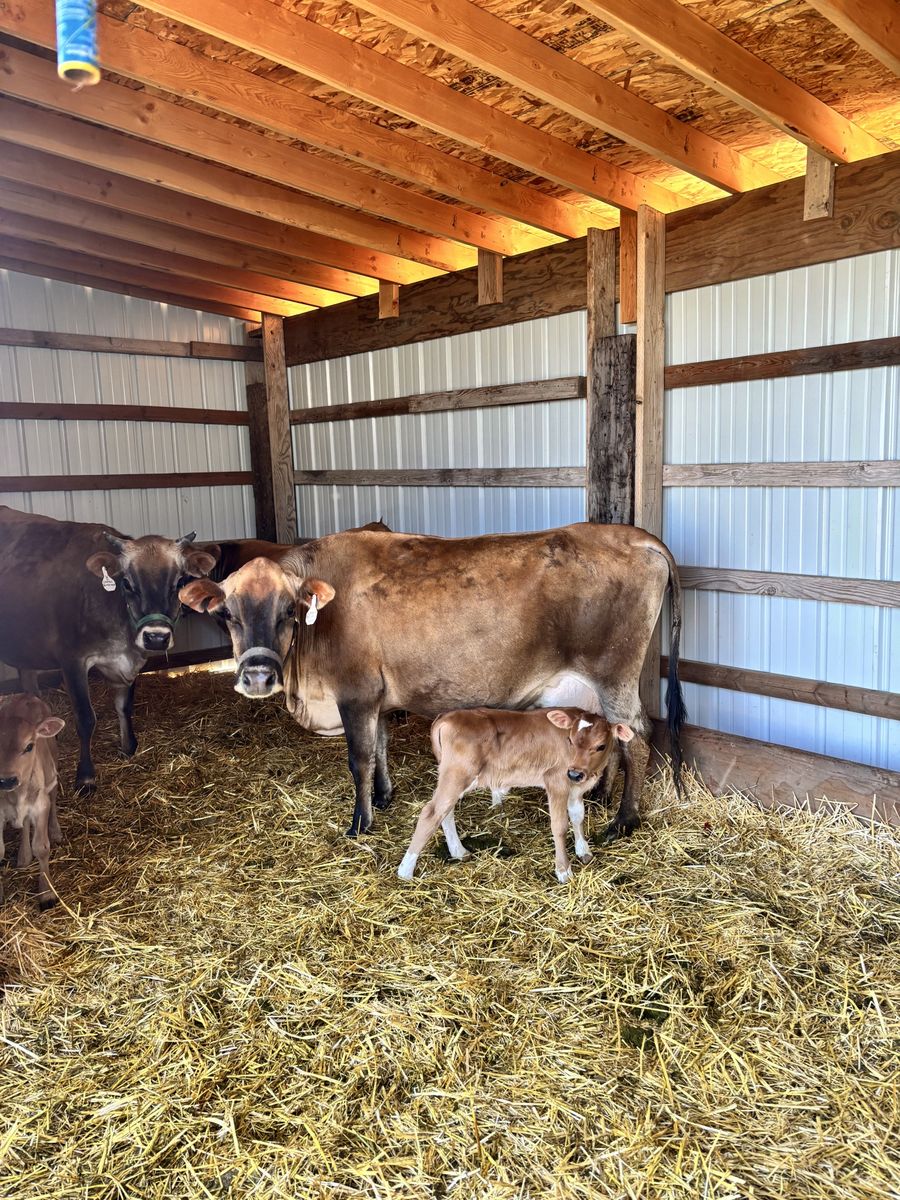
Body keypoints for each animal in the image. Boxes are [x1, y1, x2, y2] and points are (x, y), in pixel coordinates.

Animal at [0, 507, 217, 790]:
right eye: (126, 583)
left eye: (180, 582)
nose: (155, 638)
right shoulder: (72, 660)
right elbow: (85, 717)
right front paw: (85, 776)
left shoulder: (127, 661)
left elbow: (124, 706)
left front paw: (129, 747)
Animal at [0, 692, 65, 910]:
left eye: (29, 746)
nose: (7, 780)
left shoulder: (40, 805)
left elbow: (42, 847)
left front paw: (47, 894)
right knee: (25, 823)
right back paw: (24, 856)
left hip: (52, 769)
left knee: (53, 796)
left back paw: (56, 831)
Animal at [179, 522, 685, 843]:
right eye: (227, 613)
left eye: (288, 610)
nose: (258, 676)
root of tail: (634, 535)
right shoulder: (379, 696)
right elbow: (381, 746)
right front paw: (384, 797)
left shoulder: (355, 692)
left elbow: (359, 758)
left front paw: (360, 822)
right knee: (612, 735)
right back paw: (599, 796)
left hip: (614, 674)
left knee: (637, 737)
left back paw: (623, 821)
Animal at [398, 707, 635, 883]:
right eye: (569, 740)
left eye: (601, 746)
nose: (575, 772)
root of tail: (445, 717)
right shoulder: (556, 781)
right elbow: (559, 826)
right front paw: (563, 870)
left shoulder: (575, 788)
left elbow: (578, 817)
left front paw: (583, 850)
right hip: (458, 773)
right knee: (430, 813)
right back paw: (405, 870)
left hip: (453, 776)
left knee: (445, 812)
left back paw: (458, 851)